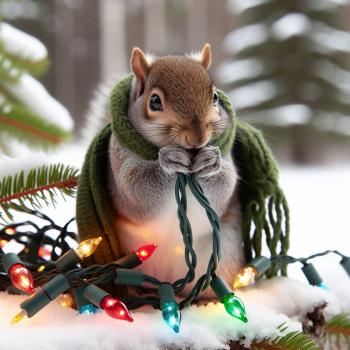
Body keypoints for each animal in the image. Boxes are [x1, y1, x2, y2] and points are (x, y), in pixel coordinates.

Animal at [106, 43, 243, 300]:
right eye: (155, 102)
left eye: (215, 97)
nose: (198, 138)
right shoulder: (118, 166)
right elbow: (136, 189)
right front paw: (168, 162)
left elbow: (225, 185)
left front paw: (211, 163)